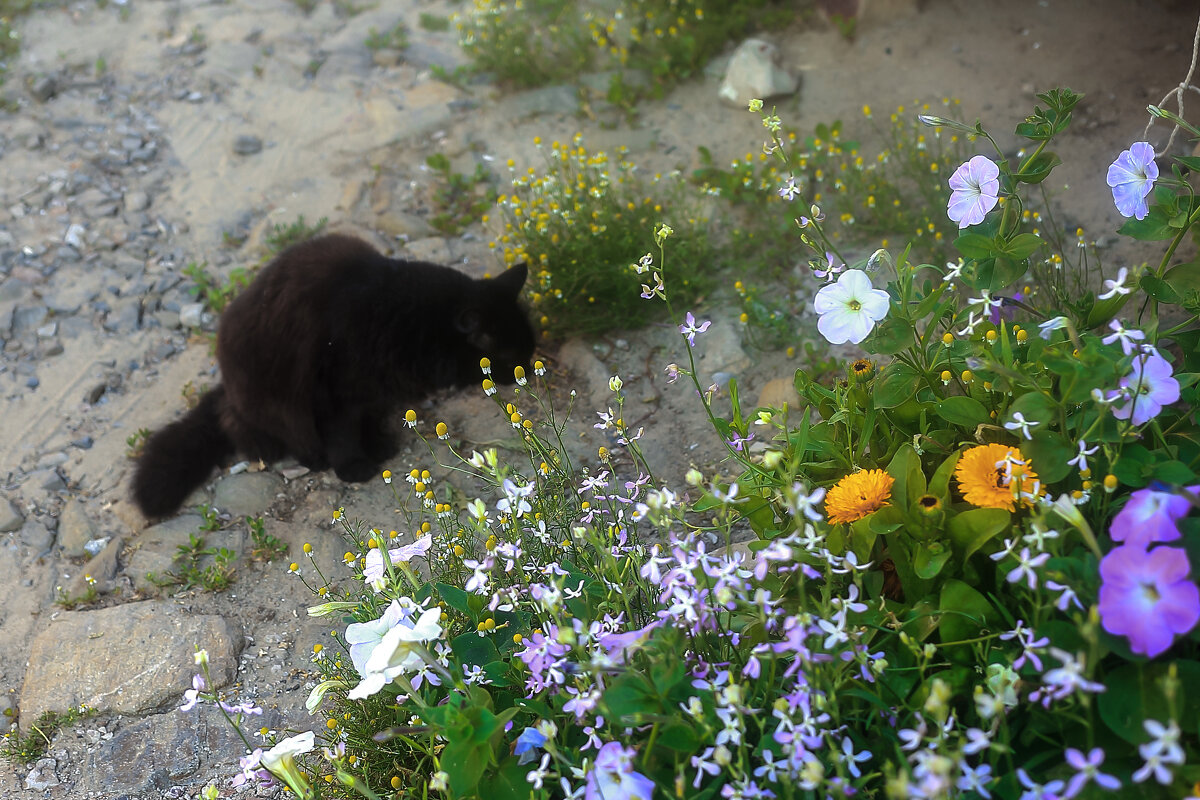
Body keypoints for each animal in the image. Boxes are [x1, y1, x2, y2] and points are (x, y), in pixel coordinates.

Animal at [130, 232, 535, 520]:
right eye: (509, 355)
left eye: (528, 348)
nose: (528, 369)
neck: (401, 316)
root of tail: (226, 386)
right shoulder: (334, 395)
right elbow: (342, 434)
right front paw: (354, 466)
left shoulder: (371, 392)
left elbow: (366, 419)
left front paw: (379, 444)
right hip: (266, 401)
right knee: (241, 426)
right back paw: (296, 453)